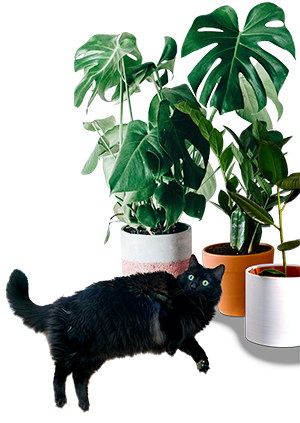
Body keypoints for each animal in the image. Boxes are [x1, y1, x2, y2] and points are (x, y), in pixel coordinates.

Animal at [5, 255, 224, 410]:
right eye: (191, 277)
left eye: (205, 282)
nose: (193, 285)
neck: (195, 303)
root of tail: (58, 304)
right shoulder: (168, 314)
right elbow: (177, 335)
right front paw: (171, 350)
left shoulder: (187, 334)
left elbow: (195, 347)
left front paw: (203, 364)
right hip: (72, 352)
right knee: (59, 374)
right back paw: (61, 401)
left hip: (92, 357)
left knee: (78, 377)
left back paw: (84, 405)